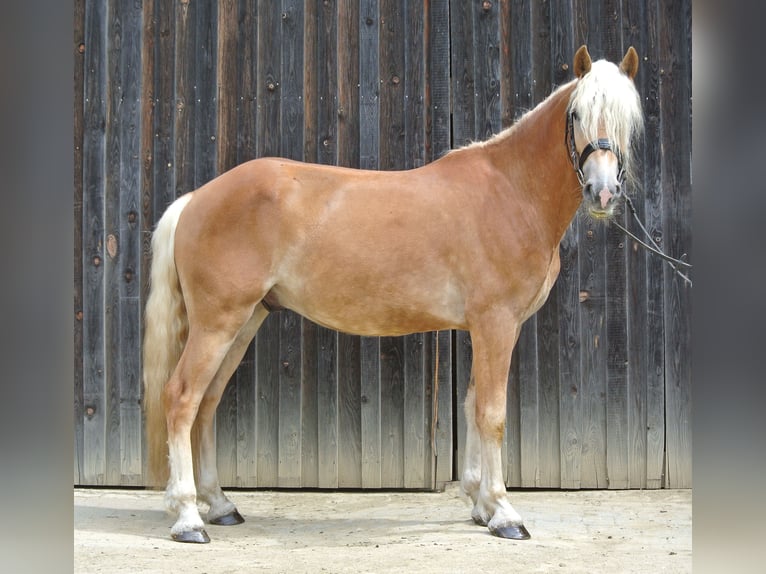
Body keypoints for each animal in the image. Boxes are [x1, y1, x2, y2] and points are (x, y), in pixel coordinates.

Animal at [142, 45, 640, 544]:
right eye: (577, 114)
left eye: (628, 120)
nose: (603, 192)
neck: (510, 191)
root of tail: (195, 199)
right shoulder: (496, 324)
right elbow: (492, 414)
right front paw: (503, 512)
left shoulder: (482, 327)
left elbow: (472, 405)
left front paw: (480, 504)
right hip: (217, 323)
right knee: (182, 398)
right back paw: (188, 518)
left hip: (244, 322)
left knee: (206, 403)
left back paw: (220, 504)